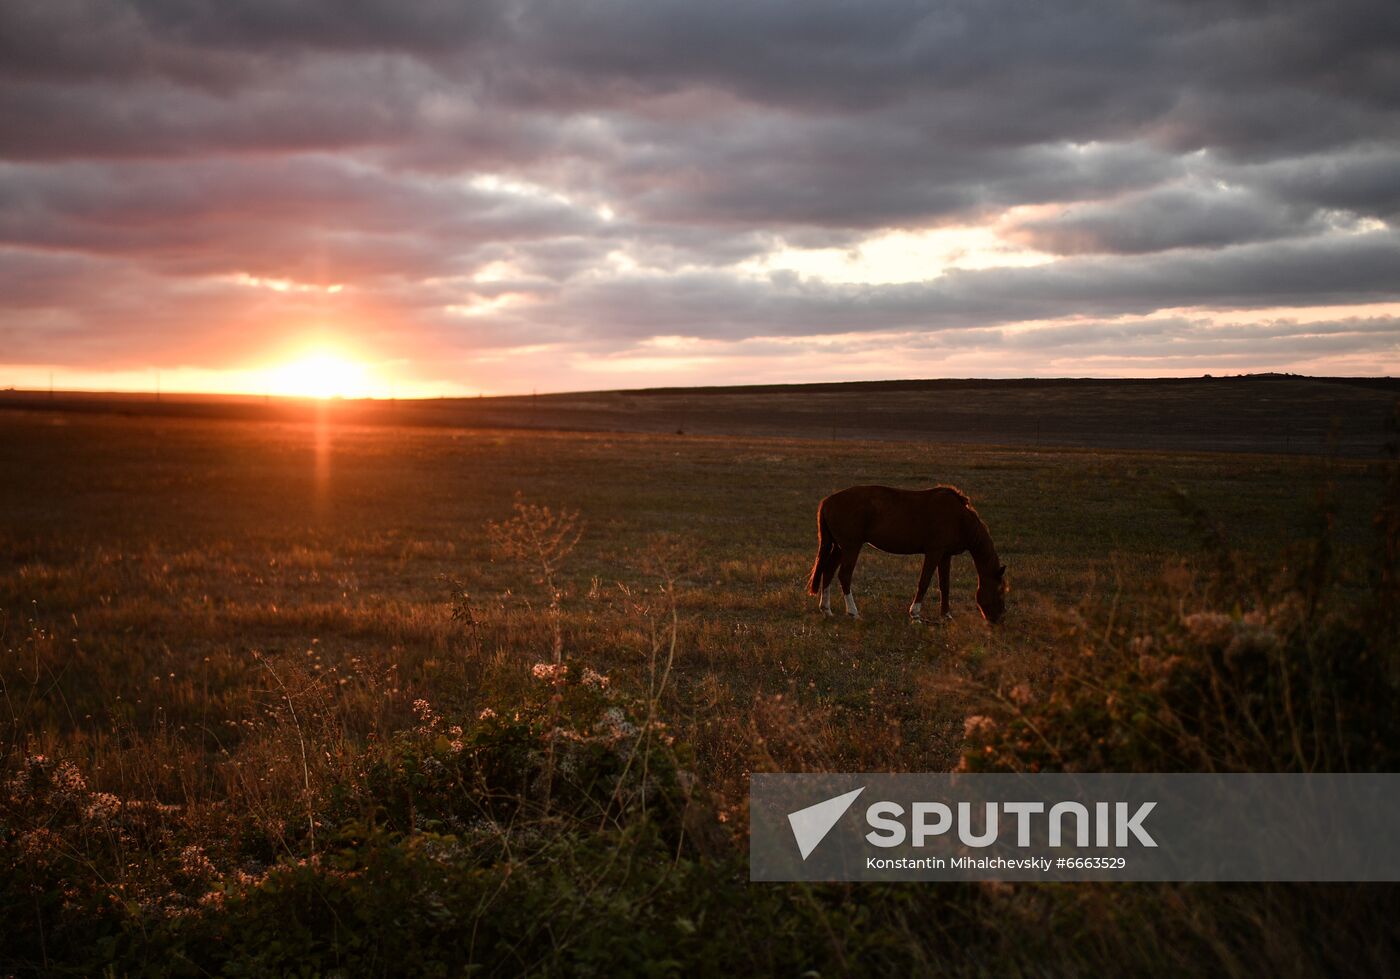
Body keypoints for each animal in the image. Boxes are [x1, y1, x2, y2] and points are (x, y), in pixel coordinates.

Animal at [812, 487, 1008, 624]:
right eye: (1000, 591)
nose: (998, 619)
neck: (959, 518)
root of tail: (827, 502)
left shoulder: (945, 555)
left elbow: (945, 585)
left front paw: (946, 616)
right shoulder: (934, 553)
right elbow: (924, 582)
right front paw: (915, 614)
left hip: (840, 548)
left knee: (828, 571)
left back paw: (826, 610)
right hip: (851, 547)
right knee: (844, 576)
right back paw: (853, 612)